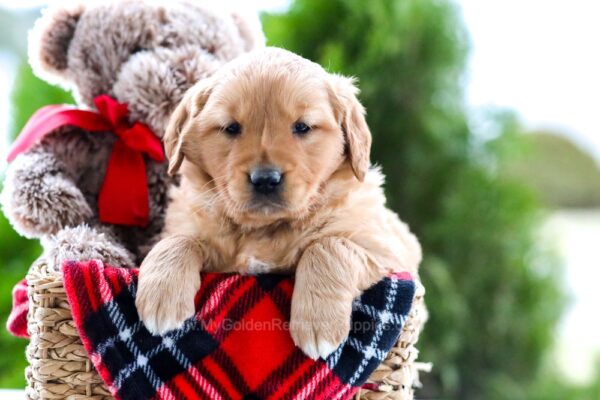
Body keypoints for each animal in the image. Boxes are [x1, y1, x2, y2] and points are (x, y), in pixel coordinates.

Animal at [135, 47, 422, 360]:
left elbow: (328, 245)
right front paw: (161, 294)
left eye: (302, 127)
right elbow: (178, 240)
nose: (265, 179)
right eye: (231, 128)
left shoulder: (388, 255)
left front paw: (318, 321)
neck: (263, 229)